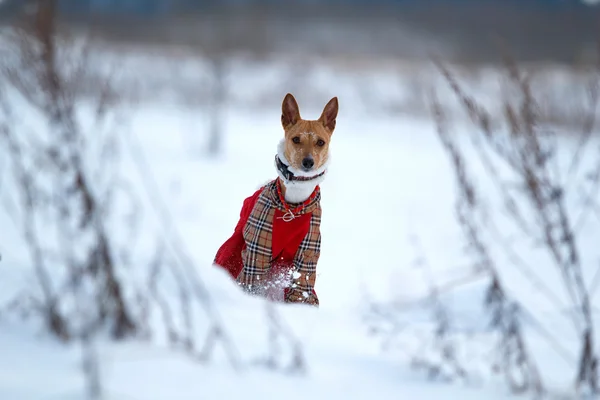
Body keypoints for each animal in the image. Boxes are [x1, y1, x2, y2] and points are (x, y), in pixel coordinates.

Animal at [214, 94, 338, 306]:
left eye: (320, 142)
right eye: (296, 139)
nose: (308, 162)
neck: (292, 206)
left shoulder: (308, 252)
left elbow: (302, 284)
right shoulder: (258, 248)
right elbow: (253, 278)